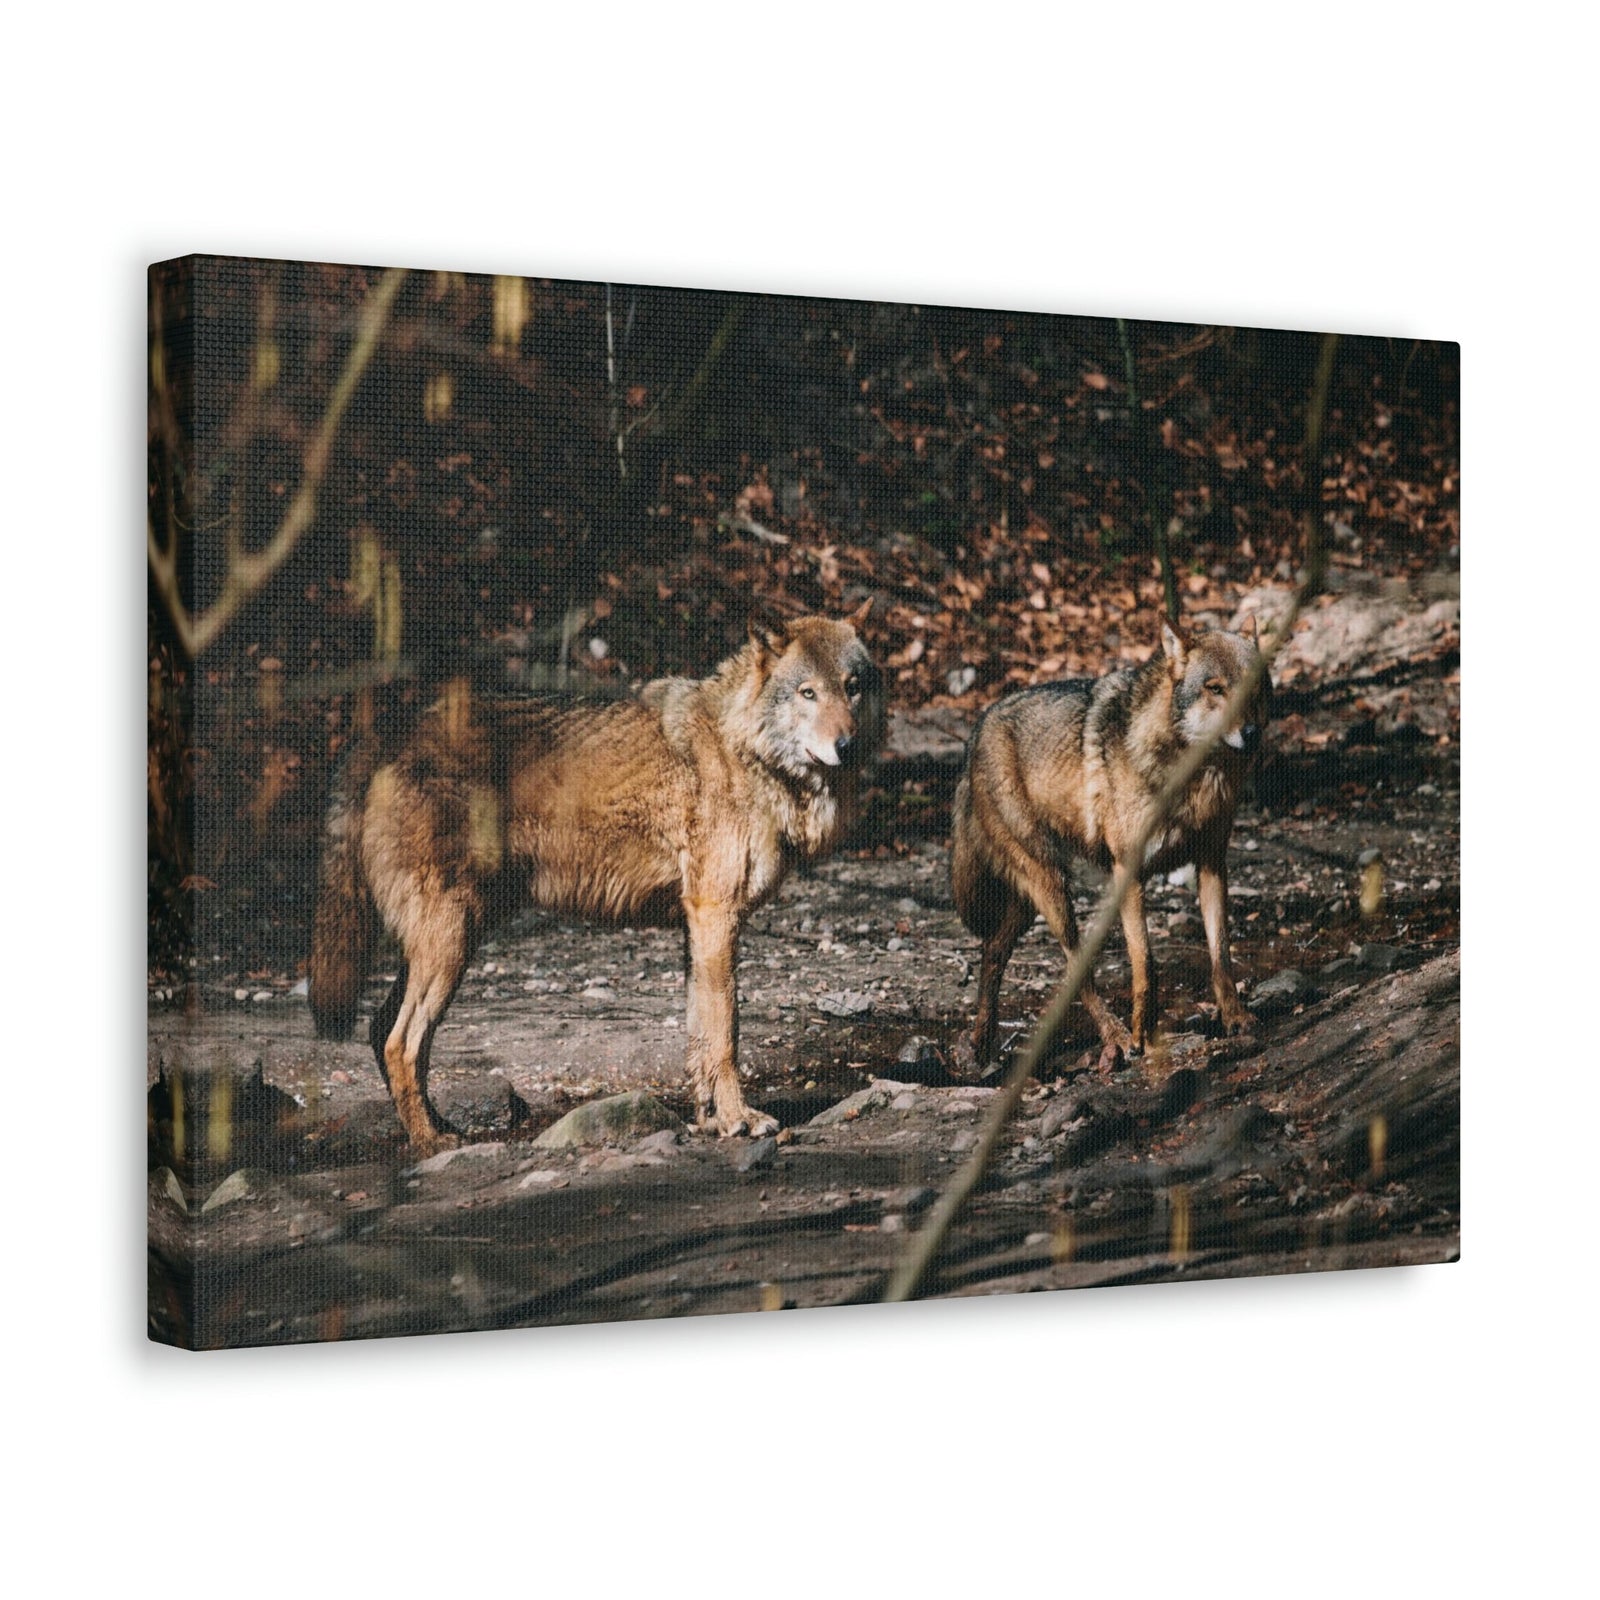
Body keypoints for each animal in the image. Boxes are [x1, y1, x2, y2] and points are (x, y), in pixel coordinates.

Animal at [309, 605, 882, 1152]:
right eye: (808, 692)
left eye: (852, 686)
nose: (848, 746)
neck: (744, 750)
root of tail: (386, 732)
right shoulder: (716, 914)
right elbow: (726, 1033)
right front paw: (741, 1118)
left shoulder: (697, 927)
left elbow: (699, 1034)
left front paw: (710, 1119)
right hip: (450, 941)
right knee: (399, 1042)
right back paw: (430, 1141)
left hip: (447, 939)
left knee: (381, 1029)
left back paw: (435, 1126)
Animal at [950, 619, 1268, 1067]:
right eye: (1216, 688)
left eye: (1255, 686)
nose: (1252, 734)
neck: (1193, 776)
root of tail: (976, 732)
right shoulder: (1127, 872)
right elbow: (1145, 964)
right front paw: (1141, 1036)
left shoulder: (1211, 865)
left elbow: (1221, 954)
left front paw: (1235, 1018)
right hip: (1052, 886)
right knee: (1075, 966)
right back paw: (1115, 1037)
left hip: (1028, 901)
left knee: (992, 951)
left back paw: (981, 1044)